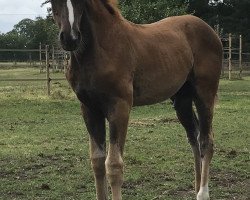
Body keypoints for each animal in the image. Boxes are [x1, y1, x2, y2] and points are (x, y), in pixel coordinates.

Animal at [49, 0, 223, 200]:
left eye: (81, 3)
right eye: (53, 3)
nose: (70, 38)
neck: (101, 48)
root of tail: (212, 32)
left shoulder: (120, 107)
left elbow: (114, 165)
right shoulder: (89, 108)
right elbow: (97, 162)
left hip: (205, 94)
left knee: (206, 140)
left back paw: (202, 192)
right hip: (182, 100)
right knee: (194, 137)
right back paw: (195, 188)